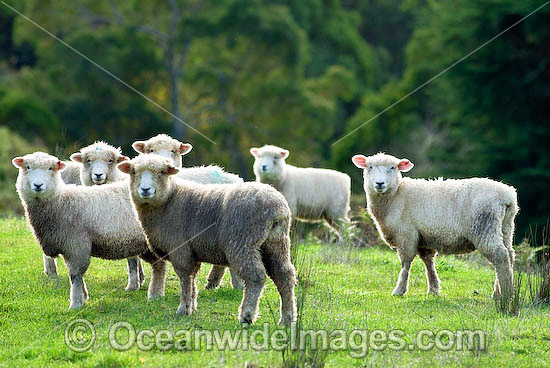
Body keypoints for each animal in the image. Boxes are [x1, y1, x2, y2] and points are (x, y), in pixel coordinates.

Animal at [12, 151, 168, 310]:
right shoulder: (69, 247)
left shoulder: (76, 246)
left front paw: (75, 304)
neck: (60, 201)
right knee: (159, 265)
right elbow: (76, 276)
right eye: (27, 167)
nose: (38, 185)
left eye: (51, 168)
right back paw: (156, 294)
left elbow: (75, 275)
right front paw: (84, 297)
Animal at [117, 155, 298, 324]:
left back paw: (247, 315)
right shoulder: (192, 251)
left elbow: (185, 278)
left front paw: (183, 308)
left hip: (243, 243)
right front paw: (192, 305)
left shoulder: (180, 249)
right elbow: (192, 279)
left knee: (256, 277)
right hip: (276, 243)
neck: (169, 202)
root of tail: (277, 208)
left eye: (161, 172)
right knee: (285, 275)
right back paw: (287, 318)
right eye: (134, 172)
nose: (145, 189)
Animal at [352, 152, 520, 300]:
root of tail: (507, 196)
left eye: (393, 167)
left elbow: (405, 264)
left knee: (500, 256)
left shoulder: (406, 235)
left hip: (484, 226)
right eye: (370, 167)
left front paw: (399, 290)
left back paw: (504, 294)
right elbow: (428, 263)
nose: (379, 183)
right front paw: (433, 289)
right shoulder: (423, 238)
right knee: (510, 255)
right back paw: (502, 291)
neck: (395, 196)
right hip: (505, 227)